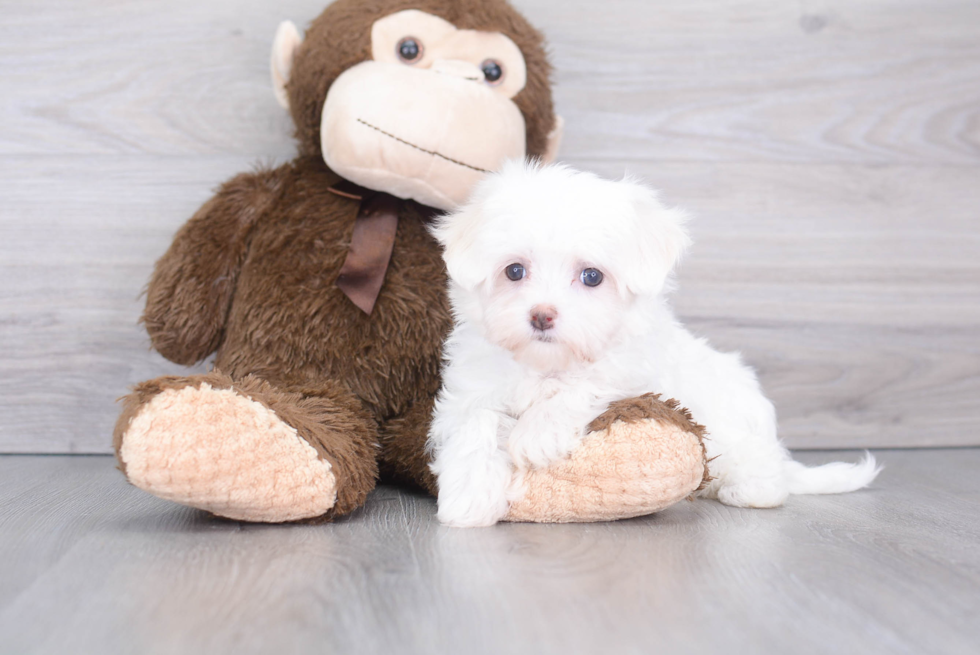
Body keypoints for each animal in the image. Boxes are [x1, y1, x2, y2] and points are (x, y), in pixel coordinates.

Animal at [428, 163, 880, 528]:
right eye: (514, 271)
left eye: (592, 276)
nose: (542, 315)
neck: (547, 363)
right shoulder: (472, 385)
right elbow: (474, 424)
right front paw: (468, 498)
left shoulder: (631, 370)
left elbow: (584, 386)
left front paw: (536, 433)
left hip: (738, 429)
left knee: (763, 467)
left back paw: (748, 489)